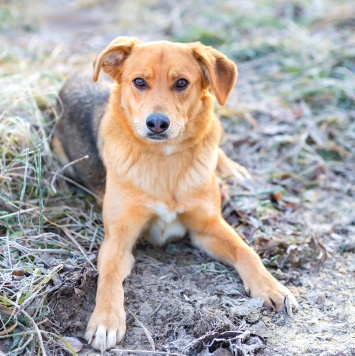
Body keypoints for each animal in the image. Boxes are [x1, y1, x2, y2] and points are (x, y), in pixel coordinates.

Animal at [54, 36, 298, 350]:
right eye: (139, 81)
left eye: (182, 82)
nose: (157, 123)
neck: (164, 160)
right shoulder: (118, 237)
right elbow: (107, 274)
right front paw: (106, 319)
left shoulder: (207, 226)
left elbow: (246, 251)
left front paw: (271, 286)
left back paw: (233, 170)